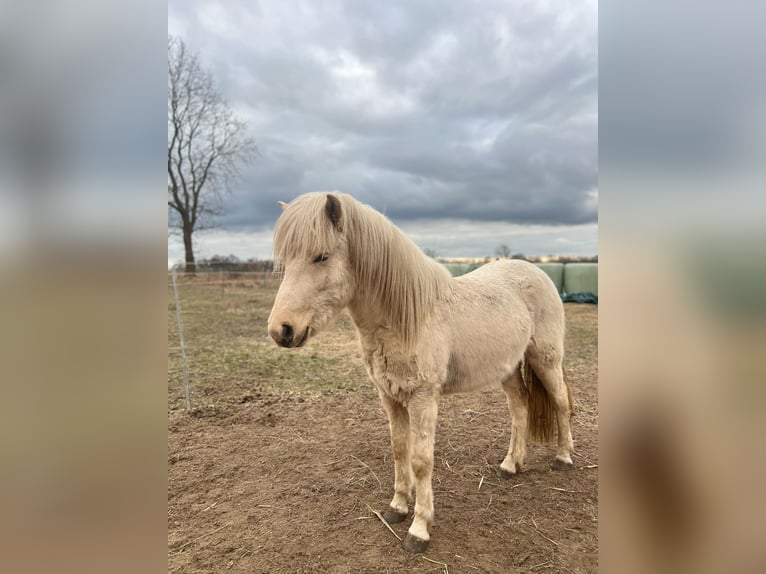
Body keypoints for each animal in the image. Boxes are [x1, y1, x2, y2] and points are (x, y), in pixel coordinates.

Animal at [267, 192, 574, 553]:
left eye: (321, 257)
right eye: (286, 261)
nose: (281, 330)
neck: (407, 317)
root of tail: (537, 273)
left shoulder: (423, 398)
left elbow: (420, 460)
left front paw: (419, 530)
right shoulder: (390, 396)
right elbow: (400, 451)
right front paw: (397, 508)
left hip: (545, 359)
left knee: (561, 402)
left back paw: (563, 459)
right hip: (509, 369)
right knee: (520, 408)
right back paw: (511, 465)